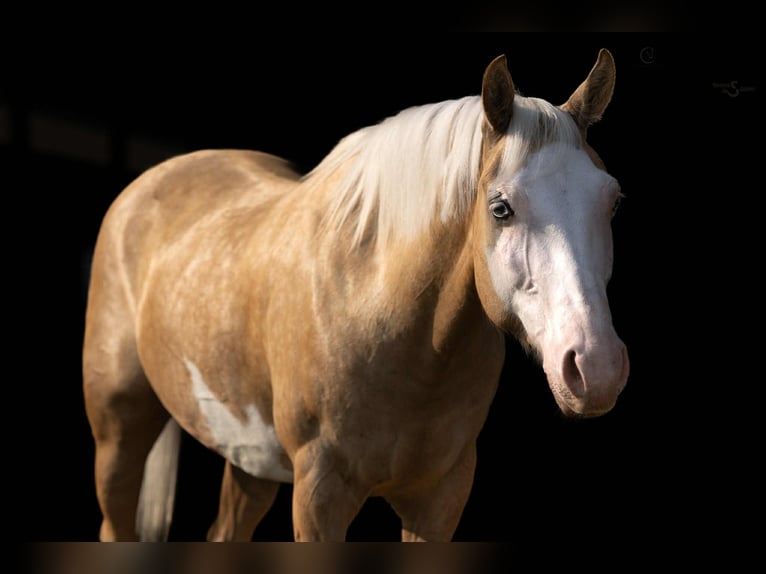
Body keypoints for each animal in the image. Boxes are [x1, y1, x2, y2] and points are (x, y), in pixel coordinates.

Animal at [82, 48, 629, 542]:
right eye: (500, 208)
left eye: (613, 201)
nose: (595, 367)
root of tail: (147, 183)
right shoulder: (319, 496)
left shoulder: (439, 500)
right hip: (118, 437)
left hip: (248, 459)